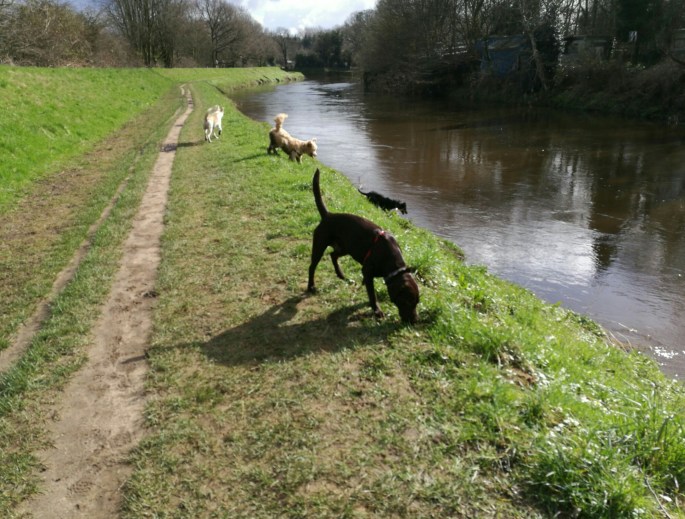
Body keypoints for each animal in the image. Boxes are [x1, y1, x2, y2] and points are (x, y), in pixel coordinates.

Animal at [308, 169, 419, 323]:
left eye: (417, 302)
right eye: (407, 302)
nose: (415, 321)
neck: (392, 263)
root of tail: (328, 215)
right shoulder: (367, 271)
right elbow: (372, 294)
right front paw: (377, 311)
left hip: (346, 248)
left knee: (333, 255)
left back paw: (342, 276)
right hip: (320, 245)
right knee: (312, 266)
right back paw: (311, 286)